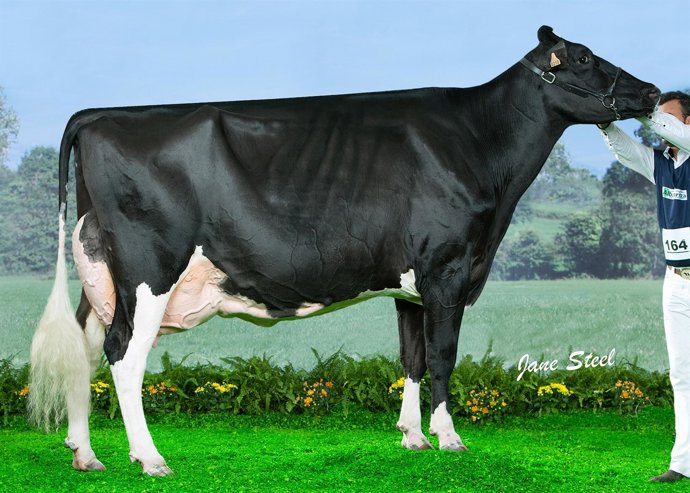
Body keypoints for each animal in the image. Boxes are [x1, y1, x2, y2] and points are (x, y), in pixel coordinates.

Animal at [29, 26, 659, 476]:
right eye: (583, 58)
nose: (652, 92)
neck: (479, 144)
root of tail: (98, 115)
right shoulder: (448, 269)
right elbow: (443, 357)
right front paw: (450, 437)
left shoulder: (411, 284)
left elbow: (411, 357)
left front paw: (413, 437)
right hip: (149, 270)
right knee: (124, 357)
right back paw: (150, 458)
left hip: (100, 271)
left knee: (85, 350)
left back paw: (86, 454)